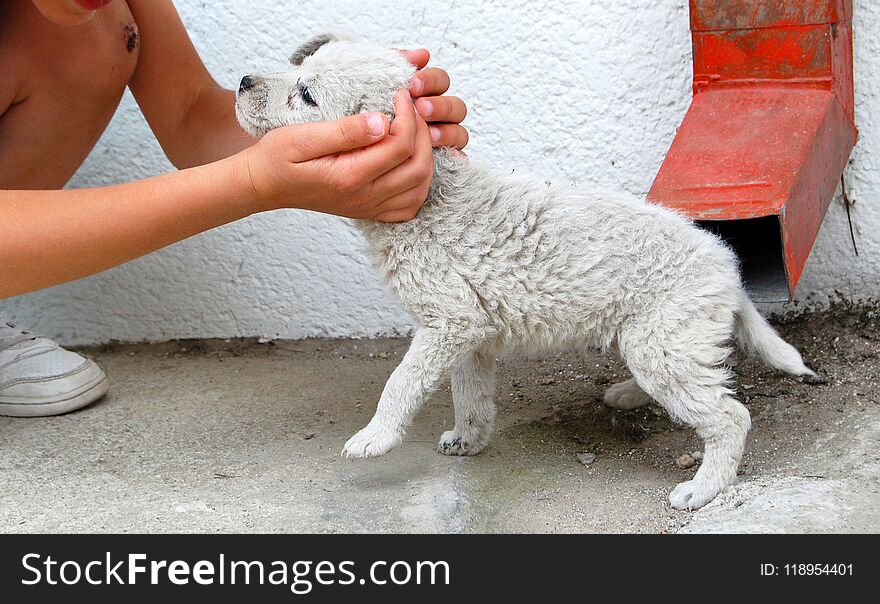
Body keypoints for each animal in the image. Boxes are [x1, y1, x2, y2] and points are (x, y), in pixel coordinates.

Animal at [237, 34, 816, 510]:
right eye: (299, 68)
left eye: (307, 95)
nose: (242, 81)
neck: (430, 196)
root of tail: (725, 264)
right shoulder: (469, 334)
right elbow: (468, 394)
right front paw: (467, 439)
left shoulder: (447, 322)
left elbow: (401, 382)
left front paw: (375, 437)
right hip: (655, 340)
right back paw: (628, 395)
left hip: (663, 342)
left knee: (728, 416)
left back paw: (703, 488)